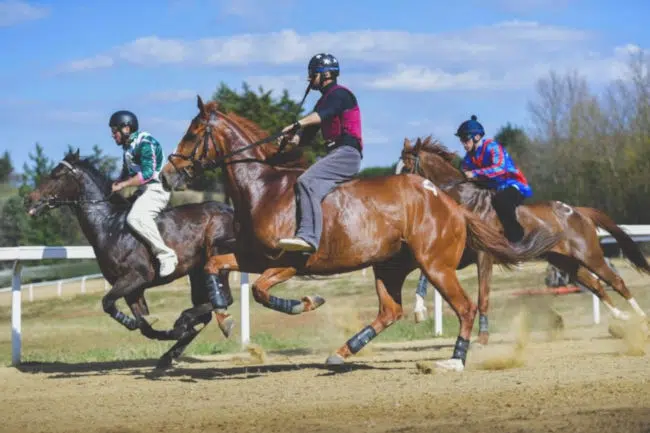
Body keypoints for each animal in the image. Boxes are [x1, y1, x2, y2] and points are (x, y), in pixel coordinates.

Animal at [24, 149, 238, 369]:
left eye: (55, 175)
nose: (29, 200)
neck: (109, 226)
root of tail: (230, 210)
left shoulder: (136, 277)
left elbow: (107, 302)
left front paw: (169, 327)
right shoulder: (132, 290)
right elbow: (143, 325)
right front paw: (157, 328)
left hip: (216, 260)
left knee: (224, 298)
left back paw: (188, 322)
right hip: (196, 273)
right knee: (207, 312)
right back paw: (171, 352)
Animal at [158, 95, 561, 371]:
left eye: (193, 133)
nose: (167, 174)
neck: (265, 187)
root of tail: (448, 201)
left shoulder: (291, 261)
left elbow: (260, 291)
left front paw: (306, 302)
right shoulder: (254, 256)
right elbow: (214, 265)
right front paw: (224, 318)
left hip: (436, 265)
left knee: (466, 307)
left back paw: (455, 360)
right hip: (389, 266)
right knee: (390, 311)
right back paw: (341, 352)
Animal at [398, 136, 650, 343]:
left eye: (407, 167)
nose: (399, 190)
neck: (463, 201)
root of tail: (578, 211)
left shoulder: (483, 256)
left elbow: (483, 296)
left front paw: (483, 336)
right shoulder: (454, 256)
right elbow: (424, 277)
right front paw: (419, 311)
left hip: (589, 255)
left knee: (616, 282)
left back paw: (641, 319)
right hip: (565, 261)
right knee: (597, 285)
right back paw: (622, 317)